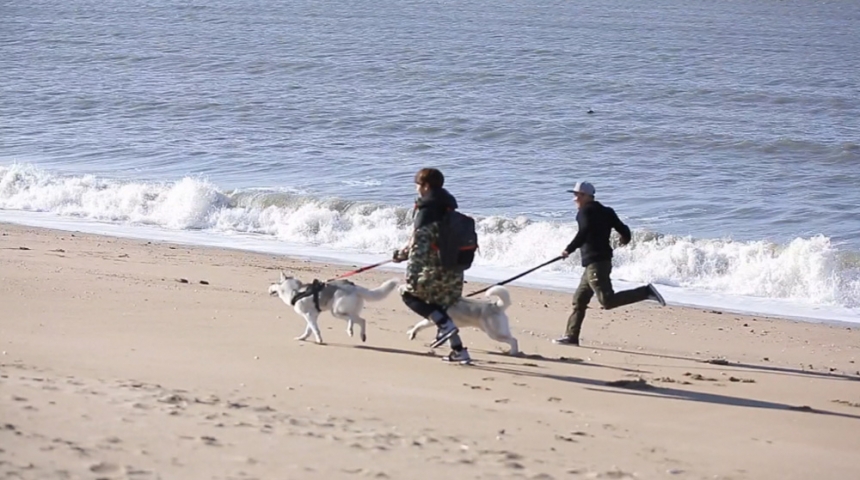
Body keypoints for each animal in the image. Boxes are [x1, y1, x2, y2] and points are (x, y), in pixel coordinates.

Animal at [268, 270, 400, 344]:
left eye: (275, 283)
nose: (268, 288)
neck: (295, 291)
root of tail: (355, 287)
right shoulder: (313, 316)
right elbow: (309, 330)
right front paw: (303, 338)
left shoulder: (309, 315)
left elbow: (315, 329)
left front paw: (319, 341)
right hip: (347, 311)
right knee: (362, 320)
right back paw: (362, 335)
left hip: (336, 311)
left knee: (351, 319)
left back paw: (350, 330)